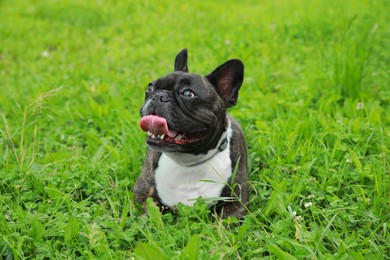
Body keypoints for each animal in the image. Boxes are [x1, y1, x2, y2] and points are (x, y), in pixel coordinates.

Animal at [134, 49, 248, 219]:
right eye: (150, 87)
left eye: (188, 93)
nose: (159, 95)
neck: (188, 161)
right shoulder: (141, 193)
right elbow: (152, 212)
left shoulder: (237, 203)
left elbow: (221, 221)